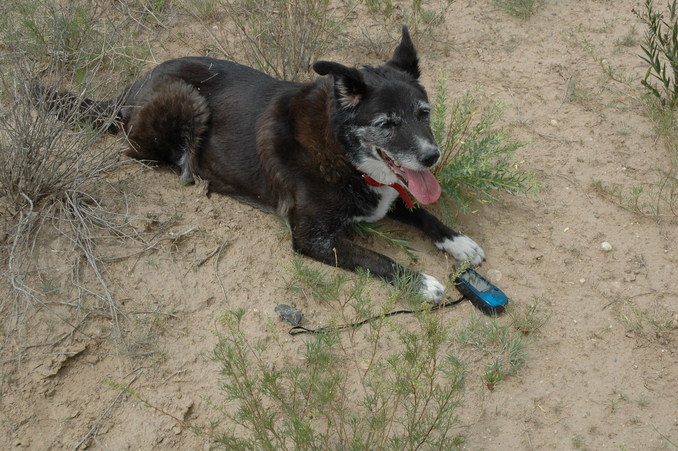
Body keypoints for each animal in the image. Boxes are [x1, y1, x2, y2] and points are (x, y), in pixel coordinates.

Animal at [41, 25, 484, 304]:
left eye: (423, 113)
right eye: (386, 124)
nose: (431, 156)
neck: (342, 150)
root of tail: (130, 88)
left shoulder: (387, 193)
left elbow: (421, 211)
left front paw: (459, 242)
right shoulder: (311, 238)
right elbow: (378, 258)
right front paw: (423, 283)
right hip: (184, 99)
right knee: (137, 152)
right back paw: (193, 172)